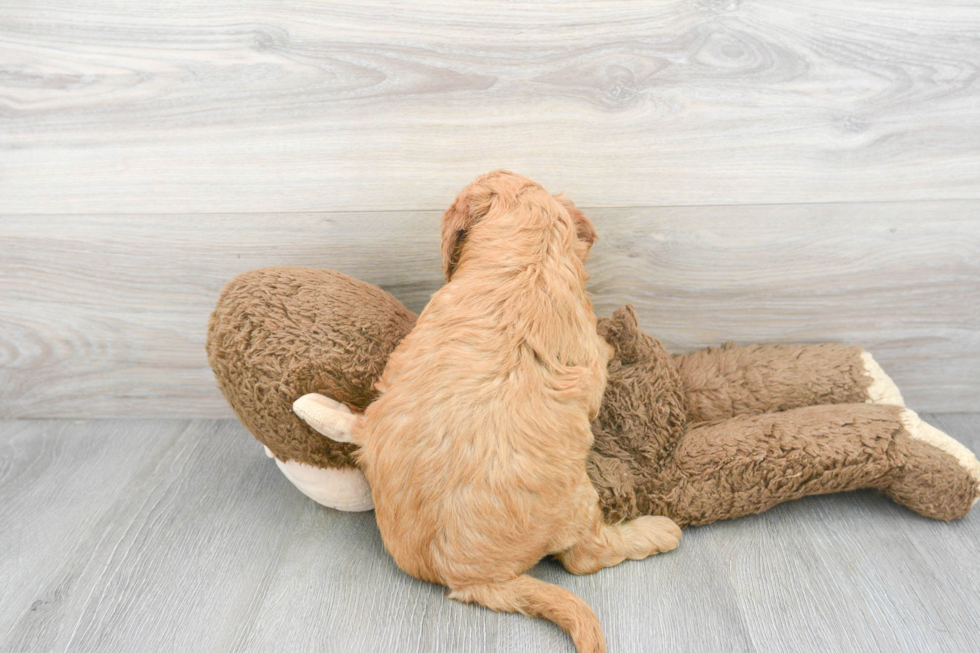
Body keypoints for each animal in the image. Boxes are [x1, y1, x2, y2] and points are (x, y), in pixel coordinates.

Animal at [302, 171, 676, 648]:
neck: (527, 259)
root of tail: (471, 579)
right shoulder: (591, 354)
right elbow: (603, 352)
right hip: (577, 500)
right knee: (585, 557)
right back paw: (658, 531)